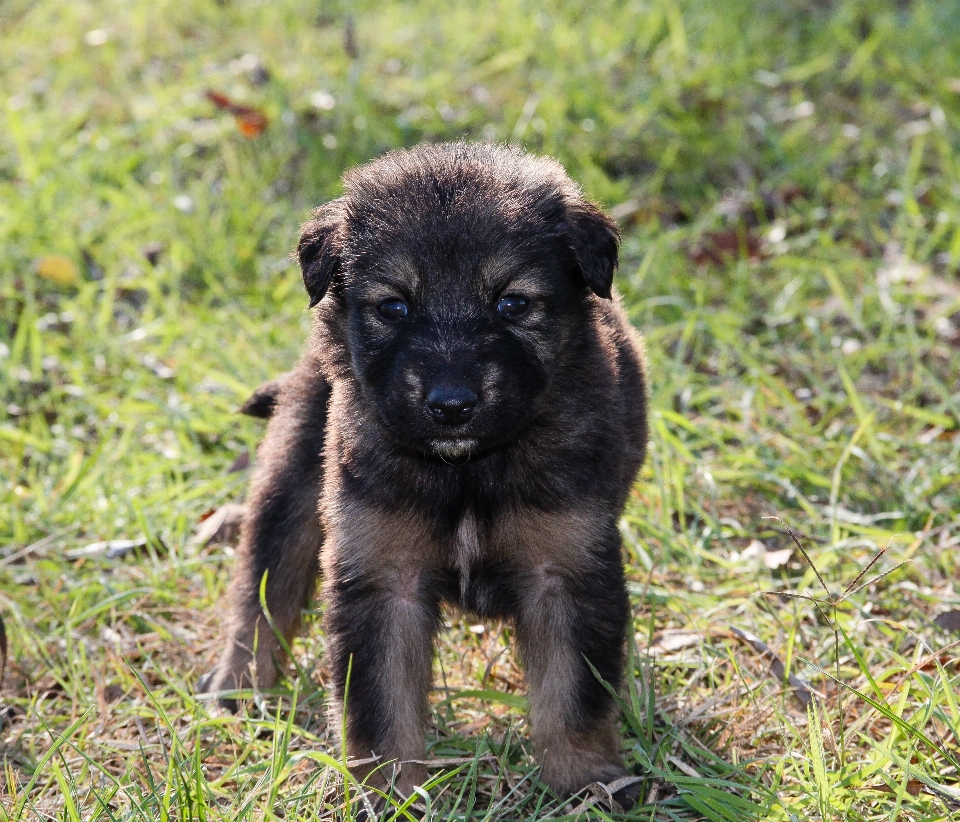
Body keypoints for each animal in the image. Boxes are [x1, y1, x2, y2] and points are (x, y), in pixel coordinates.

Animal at [202, 142, 652, 804]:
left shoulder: (565, 569)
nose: (451, 403)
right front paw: (387, 794)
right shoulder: (381, 576)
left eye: (512, 303)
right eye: (394, 306)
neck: (466, 473)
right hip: (294, 474)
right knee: (263, 585)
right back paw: (238, 686)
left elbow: (572, 697)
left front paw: (585, 787)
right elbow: (380, 705)